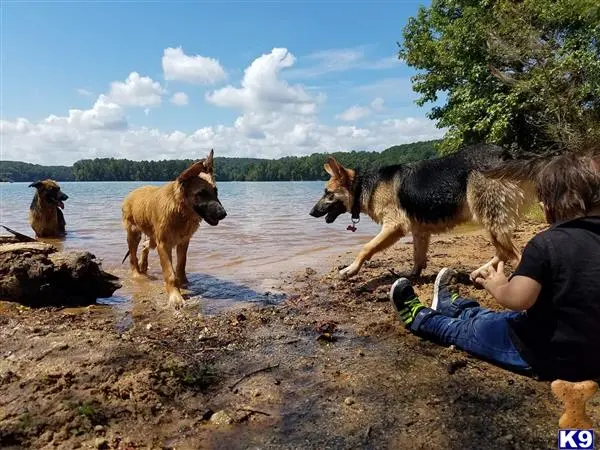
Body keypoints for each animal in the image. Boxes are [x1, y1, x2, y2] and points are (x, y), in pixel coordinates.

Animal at [122, 149, 227, 308]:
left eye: (216, 192)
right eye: (201, 193)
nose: (223, 214)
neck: (180, 210)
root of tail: (132, 193)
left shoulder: (183, 242)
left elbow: (181, 265)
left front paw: (183, 284)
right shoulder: (164, 245)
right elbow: (170, 274)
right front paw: (176, 297)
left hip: (152, 238)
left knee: (145, 246)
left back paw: (143, 266)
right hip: (134, 234)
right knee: (133, 257)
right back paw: (137, 274)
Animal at [310, 144, 536, 280]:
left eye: (327, 193)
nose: (311, 213)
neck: (363, 186)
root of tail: (506, 155)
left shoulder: (394, 226)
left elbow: (367, 247)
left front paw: (351, 269)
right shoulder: (420, 232)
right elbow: (418, 256)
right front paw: (413, 275)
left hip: (489, 219)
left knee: (515, 254)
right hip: (490, 223)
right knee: (504, 252)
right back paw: (481, 272)